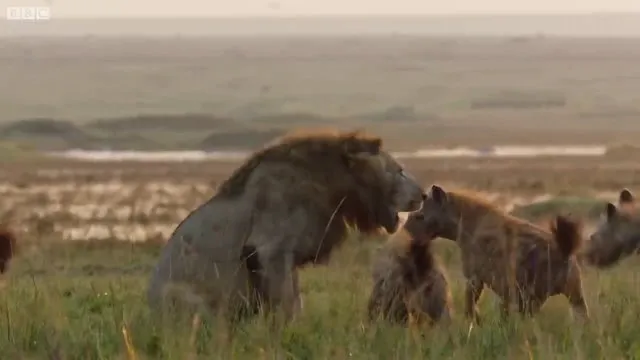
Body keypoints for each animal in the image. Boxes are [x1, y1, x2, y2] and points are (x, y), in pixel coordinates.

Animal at [146, 129, 424, 320]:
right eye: (399, 170)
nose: (423, 194)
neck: (331, 185)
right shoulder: (271, 250)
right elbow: (287, 303)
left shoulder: (288, 257)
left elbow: (295, 298)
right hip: (181, 296)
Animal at [410, 186, 592, 324]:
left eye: (420, 215)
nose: (408, 228)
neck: (464, 226)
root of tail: (565, 250)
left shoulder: (474, 276)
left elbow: (470, 303)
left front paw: (473, 323)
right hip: (575, 292)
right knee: (582, 315)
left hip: (531, 293)